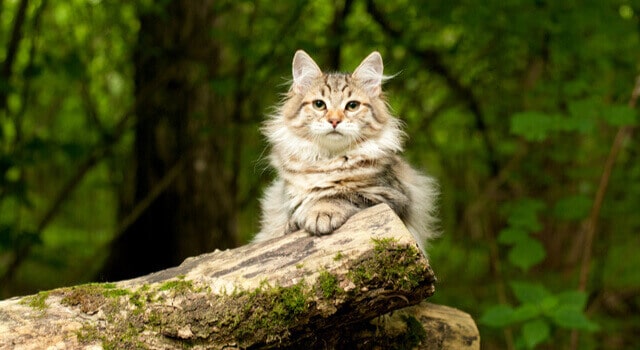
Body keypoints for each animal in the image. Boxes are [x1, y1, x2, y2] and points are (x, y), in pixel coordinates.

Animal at [252, 50, 438, 254]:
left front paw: (321, 212)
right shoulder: (286, 197)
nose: (334, 120)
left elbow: (338, 195)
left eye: (352, 106)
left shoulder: (392, 195)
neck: (328, 160)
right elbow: (294, 211)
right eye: (319, 104)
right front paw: (294, 223)